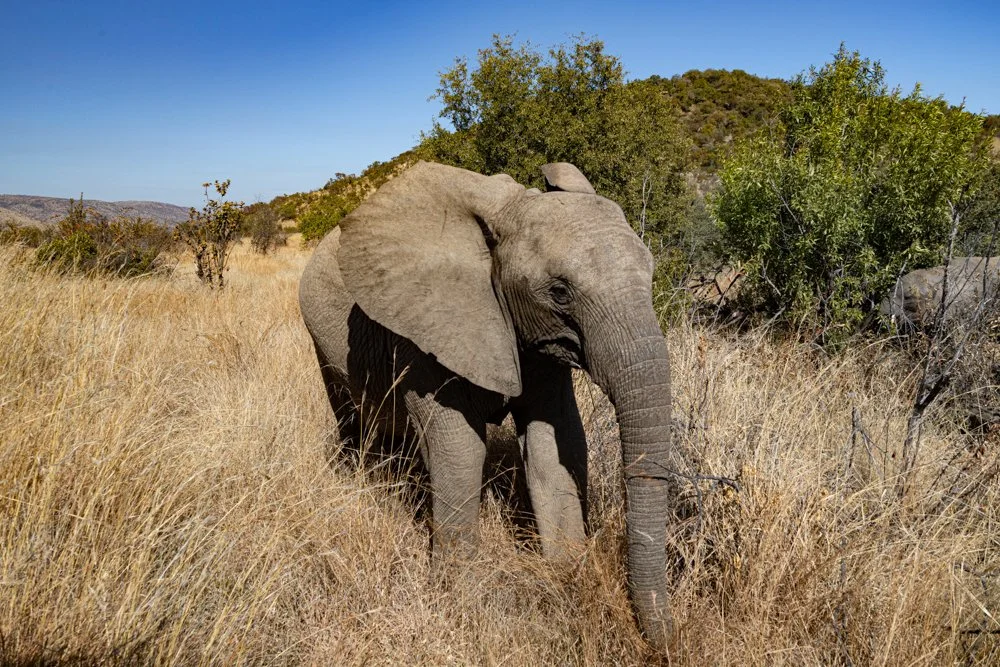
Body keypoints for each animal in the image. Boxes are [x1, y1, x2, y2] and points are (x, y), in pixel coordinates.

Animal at [299, 160, 680, 651]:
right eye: (559, 292)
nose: (667, 640)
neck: (509, 211)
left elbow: (554, 443)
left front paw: (566, 573)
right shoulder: (426, 326)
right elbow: (461, 448)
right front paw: (460, 595)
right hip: (320, 336)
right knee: (351, 419)